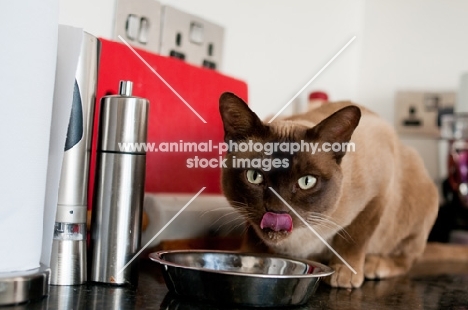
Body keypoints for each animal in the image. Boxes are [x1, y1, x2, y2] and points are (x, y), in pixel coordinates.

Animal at [219, 91, 442, 288]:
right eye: (254, 176)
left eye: (306, 181)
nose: (276, 211)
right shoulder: (251, 218)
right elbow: (253, 238)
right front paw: (248, 261)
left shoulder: (378, 194)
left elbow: (354, 239)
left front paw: (344, 275)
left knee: (407, 258)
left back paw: (374, 265)